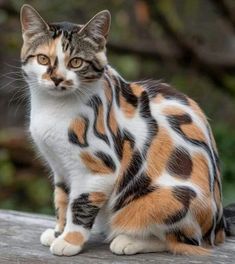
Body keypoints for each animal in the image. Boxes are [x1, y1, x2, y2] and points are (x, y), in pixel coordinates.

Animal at [19, 3, 233, 256]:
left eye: (76, 62)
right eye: (43, 59)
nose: (57, 79)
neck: (53, 107)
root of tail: (218, 227)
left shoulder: (98, 170)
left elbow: (80, 205)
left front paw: (69, 241)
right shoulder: (60, 168)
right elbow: (62, 200)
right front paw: (57, 233)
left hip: (171, 199)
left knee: (183, 241)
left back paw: (128, 240)